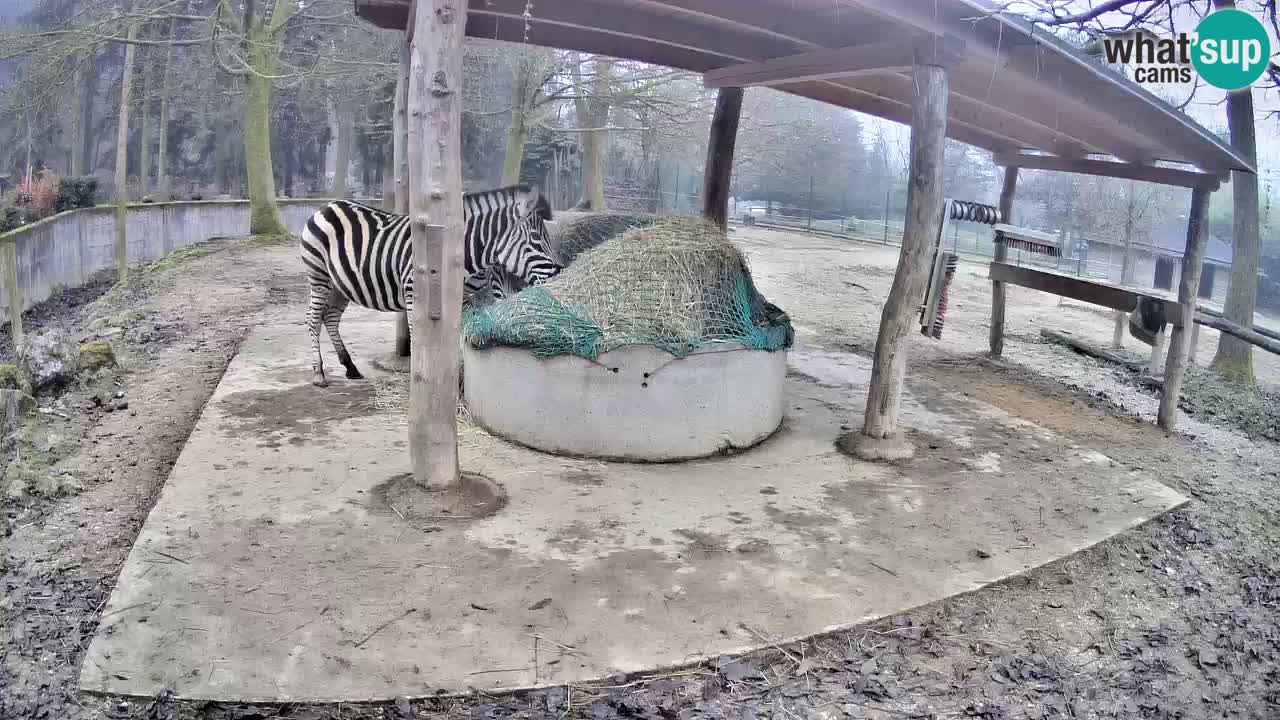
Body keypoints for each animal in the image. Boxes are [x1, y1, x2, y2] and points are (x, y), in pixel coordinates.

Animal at [299, 184, 559, 387]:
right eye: (536, 239)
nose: (558, 273)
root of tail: (327, 206)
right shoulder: (414, 294)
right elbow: (419, 339)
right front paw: (421, 382)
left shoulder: (461, 301)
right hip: (319, 276)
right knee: (313, 318)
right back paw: (319, 373)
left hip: (340, 284)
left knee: (330, 317)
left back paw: (350, 367)